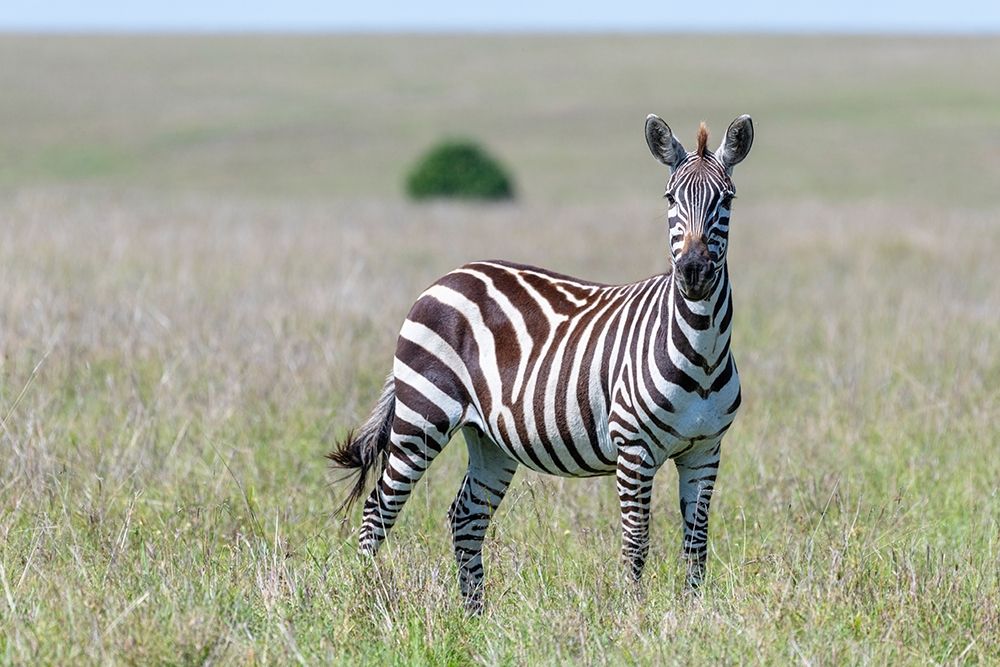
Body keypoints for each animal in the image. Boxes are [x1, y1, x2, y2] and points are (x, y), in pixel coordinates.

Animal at [329, 113, 754, 612]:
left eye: (727, 199)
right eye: (670, 198)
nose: (693, 272)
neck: (701, 351)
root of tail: (447, 277)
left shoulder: (705, 451)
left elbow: (696, 543)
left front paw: (693, 612)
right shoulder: (634, 448)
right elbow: (636, 541)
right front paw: (635, 615)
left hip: (488, 440)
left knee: (466, 517)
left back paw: (475, 615)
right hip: (421, 417)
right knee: (379, 508)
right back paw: (365, 600)